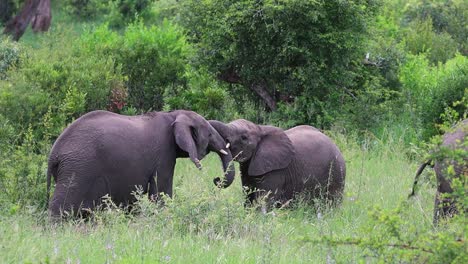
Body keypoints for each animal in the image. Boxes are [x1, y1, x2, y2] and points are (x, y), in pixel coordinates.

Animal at [47, 109, 234, 217]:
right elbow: (161, 193)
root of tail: (53, 153)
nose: (216, 179)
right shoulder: (164, 154)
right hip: (77, 169)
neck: (173, 115)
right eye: (209, 134)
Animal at [207, 118, 344, 207]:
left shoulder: (276, 170)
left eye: (244, 138)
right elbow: (248, 196)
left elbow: (265, 199)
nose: (216, 179)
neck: (260, 128)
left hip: (336, 172)